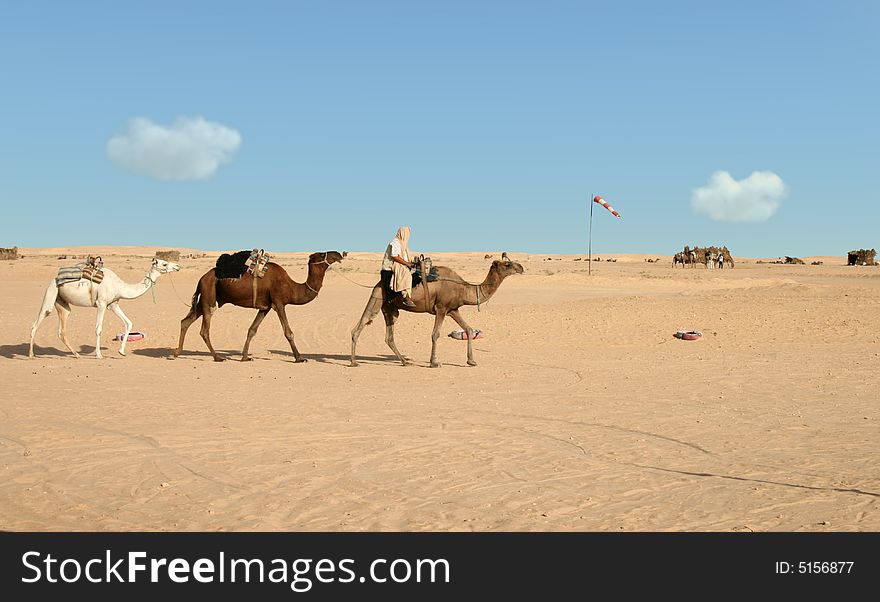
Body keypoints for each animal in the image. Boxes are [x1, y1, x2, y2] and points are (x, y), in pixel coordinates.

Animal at [28, 256, 180, 356]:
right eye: (164, 264)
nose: (178, 266)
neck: (119, 286)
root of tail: (54, 278)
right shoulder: (101, 303)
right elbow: (98, 328)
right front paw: (99, 354)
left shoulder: (113, 304)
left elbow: (129, 323)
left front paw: (121, 351)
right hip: (51, 292)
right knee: (37, 323)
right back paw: (30, 355)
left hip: (62, 303)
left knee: (62, 329)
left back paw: (76, 354)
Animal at [174, 250, 346, 360]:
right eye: (321, 254)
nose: (339, 253)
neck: (292, 287)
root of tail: (201, 278)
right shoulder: (279, 303)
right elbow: (288, 332)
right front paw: (299, 357)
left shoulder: (266, 307)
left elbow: (252, 330)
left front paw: (244, 357)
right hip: (208, 297)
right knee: (204, 330)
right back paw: (217, 357)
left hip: (204, 300)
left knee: (185, 321)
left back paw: (177, 353)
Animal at [348, 256, 524, 366]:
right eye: (507, 265)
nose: (521, 267)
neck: (463, 289)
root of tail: (379, 283)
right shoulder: (441, 308)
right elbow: (435, 334)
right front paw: (434, 362)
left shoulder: (452, 309)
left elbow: (468, 329)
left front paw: (471, 361)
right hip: (377, 297)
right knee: (361, 324)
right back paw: (353, 362)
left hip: (389, 308)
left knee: (389, 337)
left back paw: (405, 361)